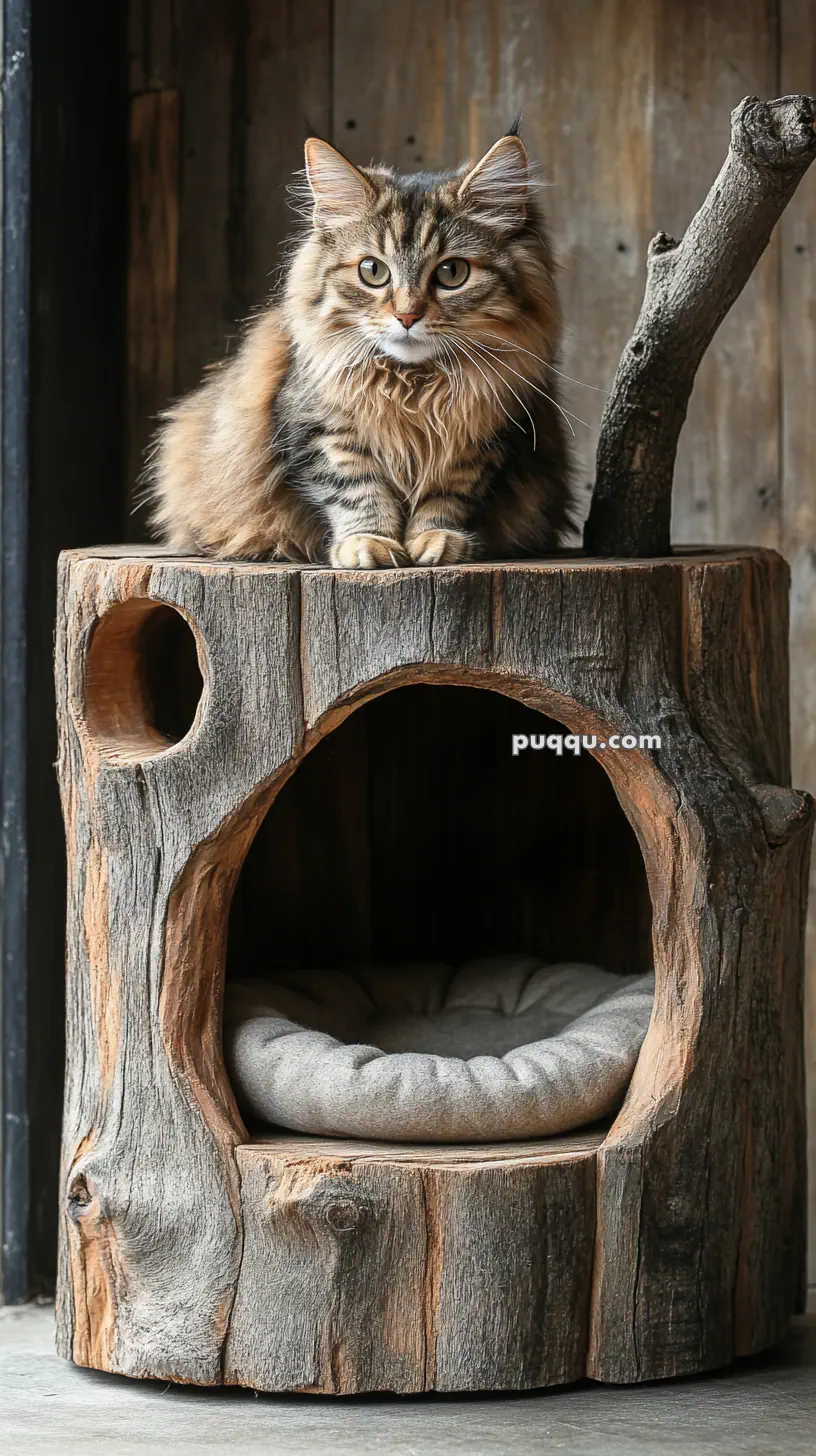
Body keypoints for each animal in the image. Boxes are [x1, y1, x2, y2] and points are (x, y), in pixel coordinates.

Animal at [151, 126, 574, 567]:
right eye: (373, 271)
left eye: (452, 273)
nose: (407, 316)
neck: (413, 385)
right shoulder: (321, 429)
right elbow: (356, 489)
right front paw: (368, 543)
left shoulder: (482, 439)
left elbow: (446, 496)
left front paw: (436, 540)